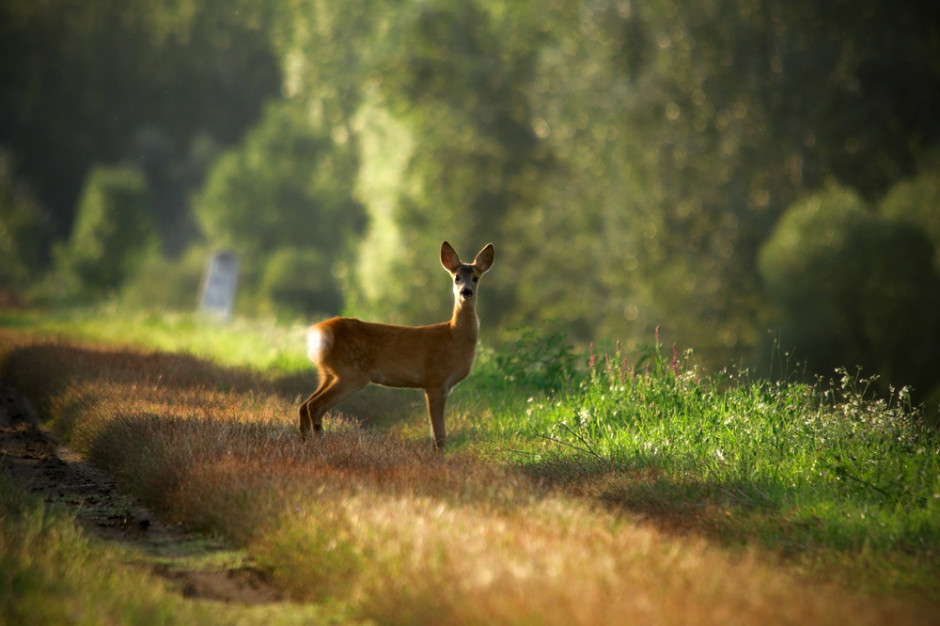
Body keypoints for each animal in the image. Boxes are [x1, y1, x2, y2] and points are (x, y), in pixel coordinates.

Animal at [302, 240, 496, 448]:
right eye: (456, 277)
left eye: (475, 278)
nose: (466, 292)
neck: (454, 337)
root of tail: (319, 332)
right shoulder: (435, 380)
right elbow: (439, 435)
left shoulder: (441, 386)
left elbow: (437, 434)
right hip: (350, 373)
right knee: (315, 406)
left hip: (328, 373)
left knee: (304, 405)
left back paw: (305, 443)